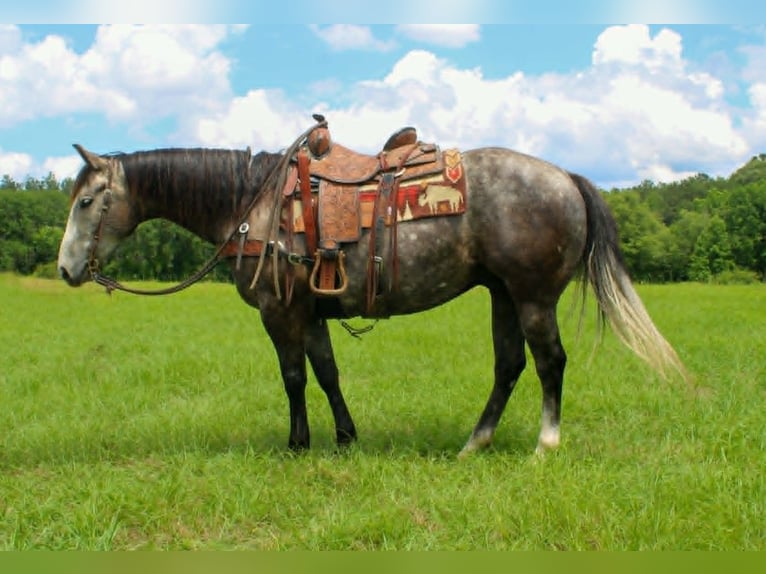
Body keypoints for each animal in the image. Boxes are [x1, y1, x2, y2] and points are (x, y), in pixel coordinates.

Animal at [57, 128, 687, 455]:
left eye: (86, 201)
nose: (65, 270)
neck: (251, 205)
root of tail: (568, 179)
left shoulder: (279, 313)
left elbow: (293, 377)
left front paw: (298, 444)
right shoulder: (311, 312)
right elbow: (327, 373)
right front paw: (344, 436)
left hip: (533, 297)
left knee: (550, 361)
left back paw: (546, 443)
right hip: (502, 295)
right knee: (509, 366)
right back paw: (474, 443)